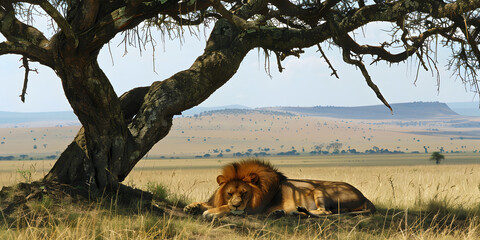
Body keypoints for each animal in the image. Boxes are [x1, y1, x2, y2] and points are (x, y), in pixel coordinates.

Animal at [184, 158, 376, 218]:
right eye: (229, 193)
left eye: (244, 194)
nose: (237, 204)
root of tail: (365, 197)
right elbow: (207, 203)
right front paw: (191, 207)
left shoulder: (253, 208)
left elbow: (223, 208)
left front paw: (210, 212)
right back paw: (285, 212)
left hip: (320, 189)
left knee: (326, 212)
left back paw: (295, 211)